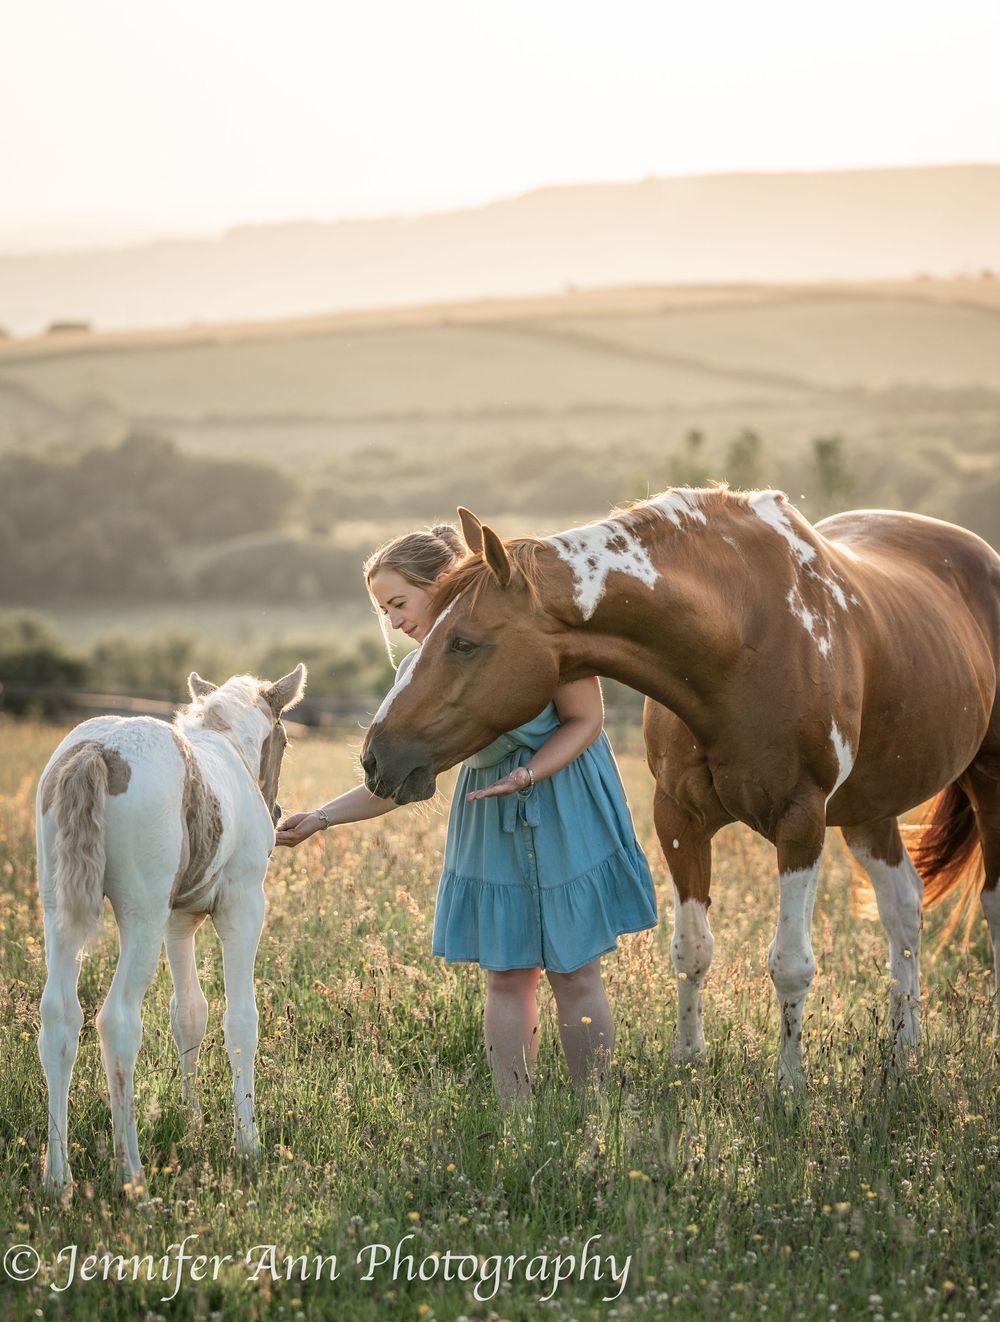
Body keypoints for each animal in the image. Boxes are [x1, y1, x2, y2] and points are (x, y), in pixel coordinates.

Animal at [35, 664, 306, 1196]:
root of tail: (97, 750)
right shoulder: (243, 907)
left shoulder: (179, 920)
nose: (278, 815)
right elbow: (240, 1020)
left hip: (59, 908)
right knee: (117, 1021)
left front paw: (193, 1121)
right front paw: (247, 1143)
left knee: (60, 1017)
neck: (228, 745)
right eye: (284, 740)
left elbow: (190, 1012)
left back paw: (58, 1180)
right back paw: (132, 1176)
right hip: (141, 913)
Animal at [360, 490, 1000, 1087]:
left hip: (985, 781)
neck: (742, 636)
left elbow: (791, 962)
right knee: (904, 909)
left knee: (986, 903)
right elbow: (692, 947)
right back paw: (903, 1050)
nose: (375, 756)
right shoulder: (678, 817)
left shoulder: (801, 820)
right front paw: (687, 1061)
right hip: (870, 811)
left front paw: (790, 1085)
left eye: (464, 642)